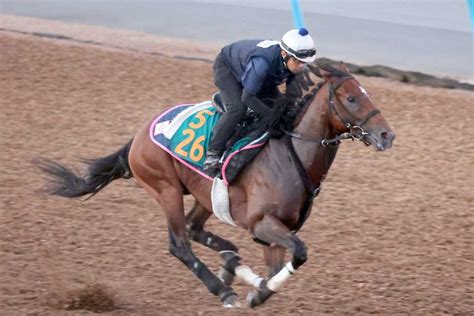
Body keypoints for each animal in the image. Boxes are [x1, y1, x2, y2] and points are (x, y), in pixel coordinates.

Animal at [37, 62, 394, 308]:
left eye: (367, 95)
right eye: (351, 98)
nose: (387, 135)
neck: (292, 155)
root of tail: (140, 134)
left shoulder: (276, 232)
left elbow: (280, 267)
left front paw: (256, 287)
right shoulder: (262, 223)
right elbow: (300, 254)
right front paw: (254, 293)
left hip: (204, 196)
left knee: (195, 230)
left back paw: (230, 264)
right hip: (165, 188)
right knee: (179, 244)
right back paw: (223, 288)